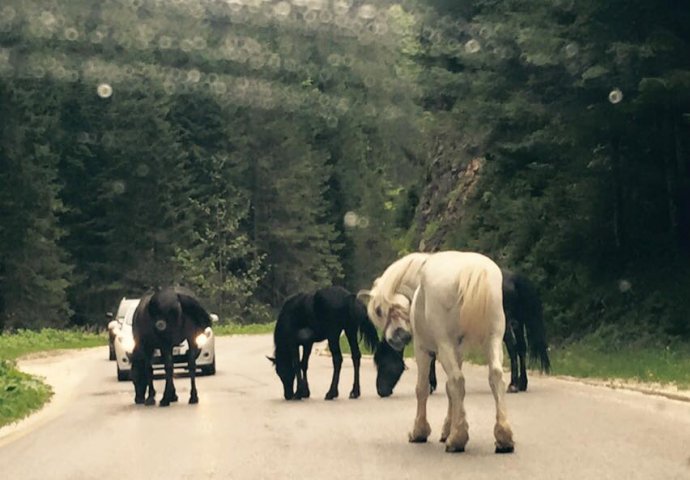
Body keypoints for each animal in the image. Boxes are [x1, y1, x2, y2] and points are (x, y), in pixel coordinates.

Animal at [360, 251, 510, 454]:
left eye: (377, 310)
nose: (396, 338)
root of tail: (470, 270)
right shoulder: (457, 351)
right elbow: (449, 390)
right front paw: (448, 429)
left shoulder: (423, 350)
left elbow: (422, 389)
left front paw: (420, 432)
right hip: (493, 340)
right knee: (495, 376)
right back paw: (503, 437)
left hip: (446, 344)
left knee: (457, 380)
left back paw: (457, 440)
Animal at [374, 270, 552, 398]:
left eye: (384, 362)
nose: (381, 391)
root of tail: (515, 278)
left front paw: (431, 385)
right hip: (518, 322)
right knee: (522, 349)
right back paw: (522, 384)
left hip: (505, 325)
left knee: (513, 349)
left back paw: (513, 384)